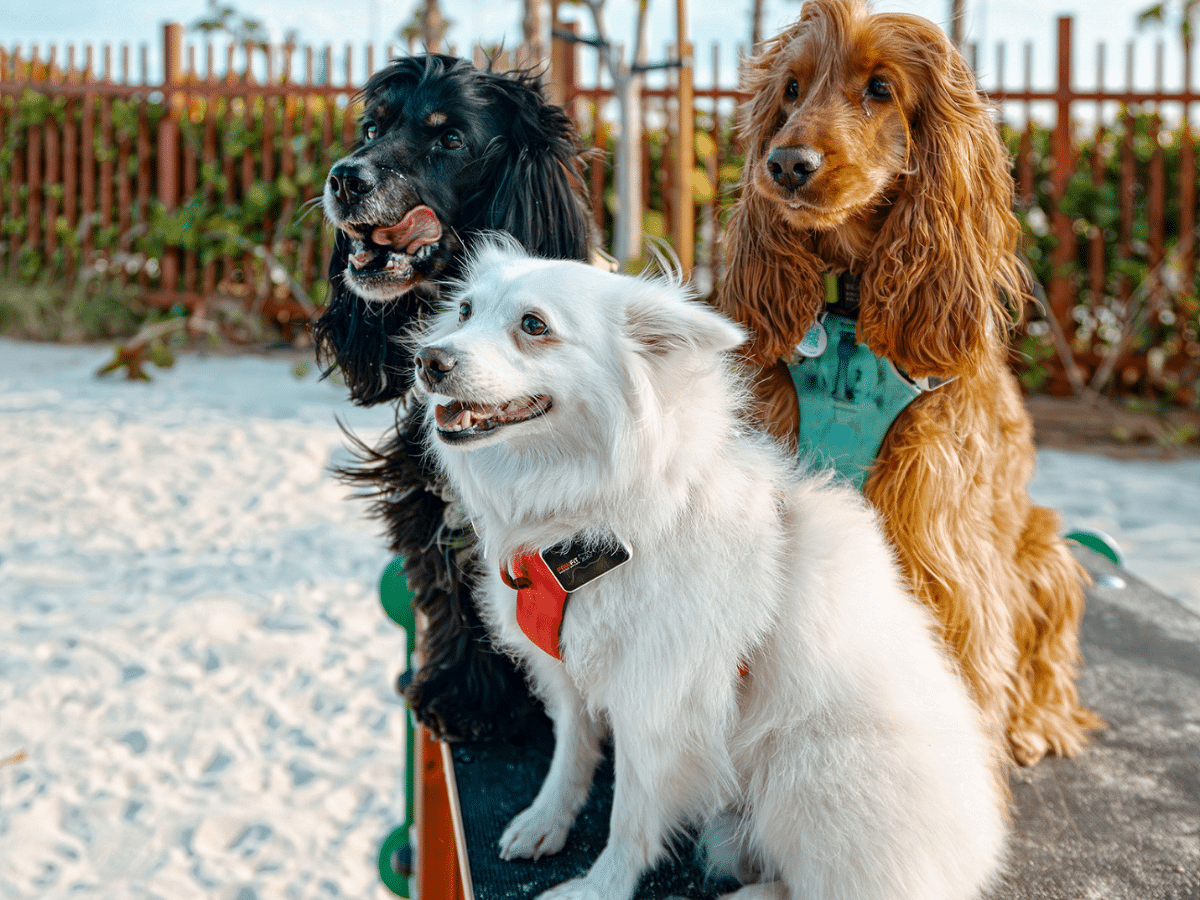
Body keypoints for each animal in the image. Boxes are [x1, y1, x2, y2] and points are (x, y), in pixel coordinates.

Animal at [319, 58, 595, 748]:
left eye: (450, 139)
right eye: (372, 127)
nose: (344, 177)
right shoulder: (432, 494)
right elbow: (449, 586)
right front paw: (464, 694)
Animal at [412, 237, 1003, 900]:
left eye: (534, 326)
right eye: (464, 312)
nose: (428, 361)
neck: (595, 521)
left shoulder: (658, 708)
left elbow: (630, 819)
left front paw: (600, 887)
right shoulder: (570, 676)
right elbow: (571, 755)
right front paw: (546, 821)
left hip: (806, 771)